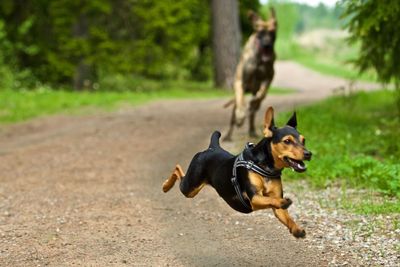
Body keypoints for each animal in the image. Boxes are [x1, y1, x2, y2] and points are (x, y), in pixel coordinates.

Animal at [162, 107, 312, 239]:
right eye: (287, 141)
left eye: (304, 140)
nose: (308, 154)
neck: (265, 168)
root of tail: (212, 147)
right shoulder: (254, 198)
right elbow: (271, 200)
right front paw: (285, 201)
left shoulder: (276, 206)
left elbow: (284, 213)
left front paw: (297, 230)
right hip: (190, 186)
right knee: (177, 170)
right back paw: (166, 186)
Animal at [225, 7, 278, 142]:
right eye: (260, 32)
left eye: (272, 32)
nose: (267, 45)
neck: (260, 59)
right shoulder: (239, 82)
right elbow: (241, 99)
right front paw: (240, 115)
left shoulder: (269, 77)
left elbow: (262, 93)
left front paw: (256, 101)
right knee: (233, 116)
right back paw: (228, 134)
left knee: (253, 114)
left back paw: (252, 130)